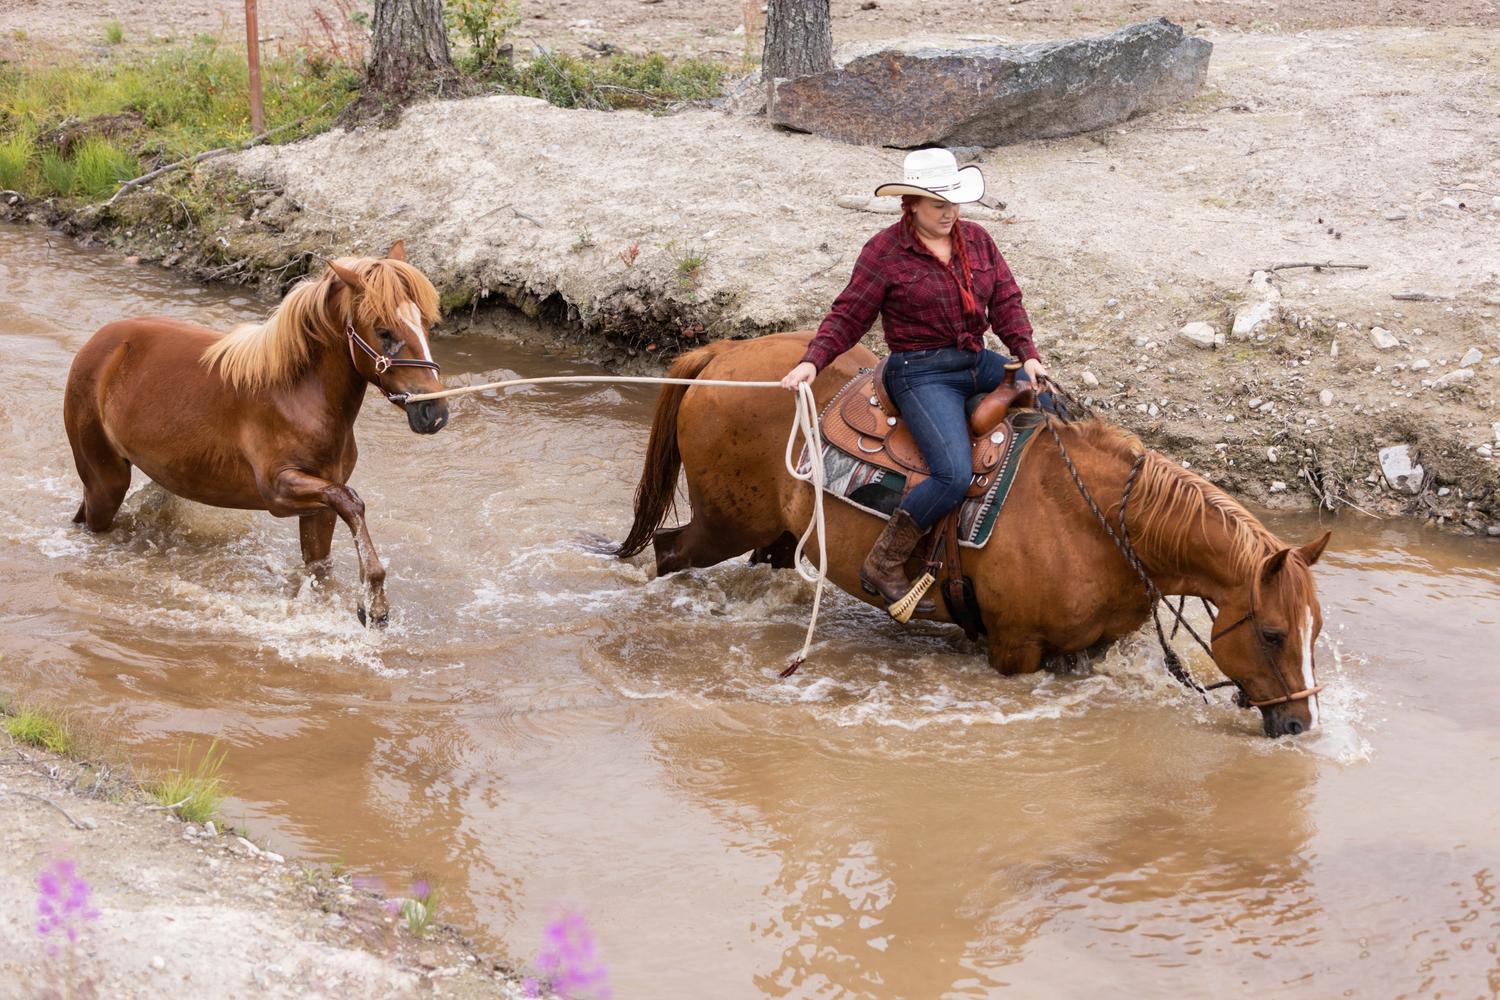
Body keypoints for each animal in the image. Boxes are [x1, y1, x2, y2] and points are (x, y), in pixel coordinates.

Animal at [64, 242, 447, 626]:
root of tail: (97, 345)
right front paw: (375, 600)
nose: (435, 412)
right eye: (384, 331)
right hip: (105, 482)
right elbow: (352, 501)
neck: (298, 395)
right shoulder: (279, 491)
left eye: (426, 324)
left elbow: (321, 563)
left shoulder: (318, 508)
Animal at [615, 334, 1332, 734]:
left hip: (774, 533)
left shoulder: (1088, 649)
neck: (1099, 523)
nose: (1299, 722)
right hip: (723, 522)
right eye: (1273, 633)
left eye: (1313, 631)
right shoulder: (1015, 649)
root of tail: (726, 353)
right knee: (668, 551)